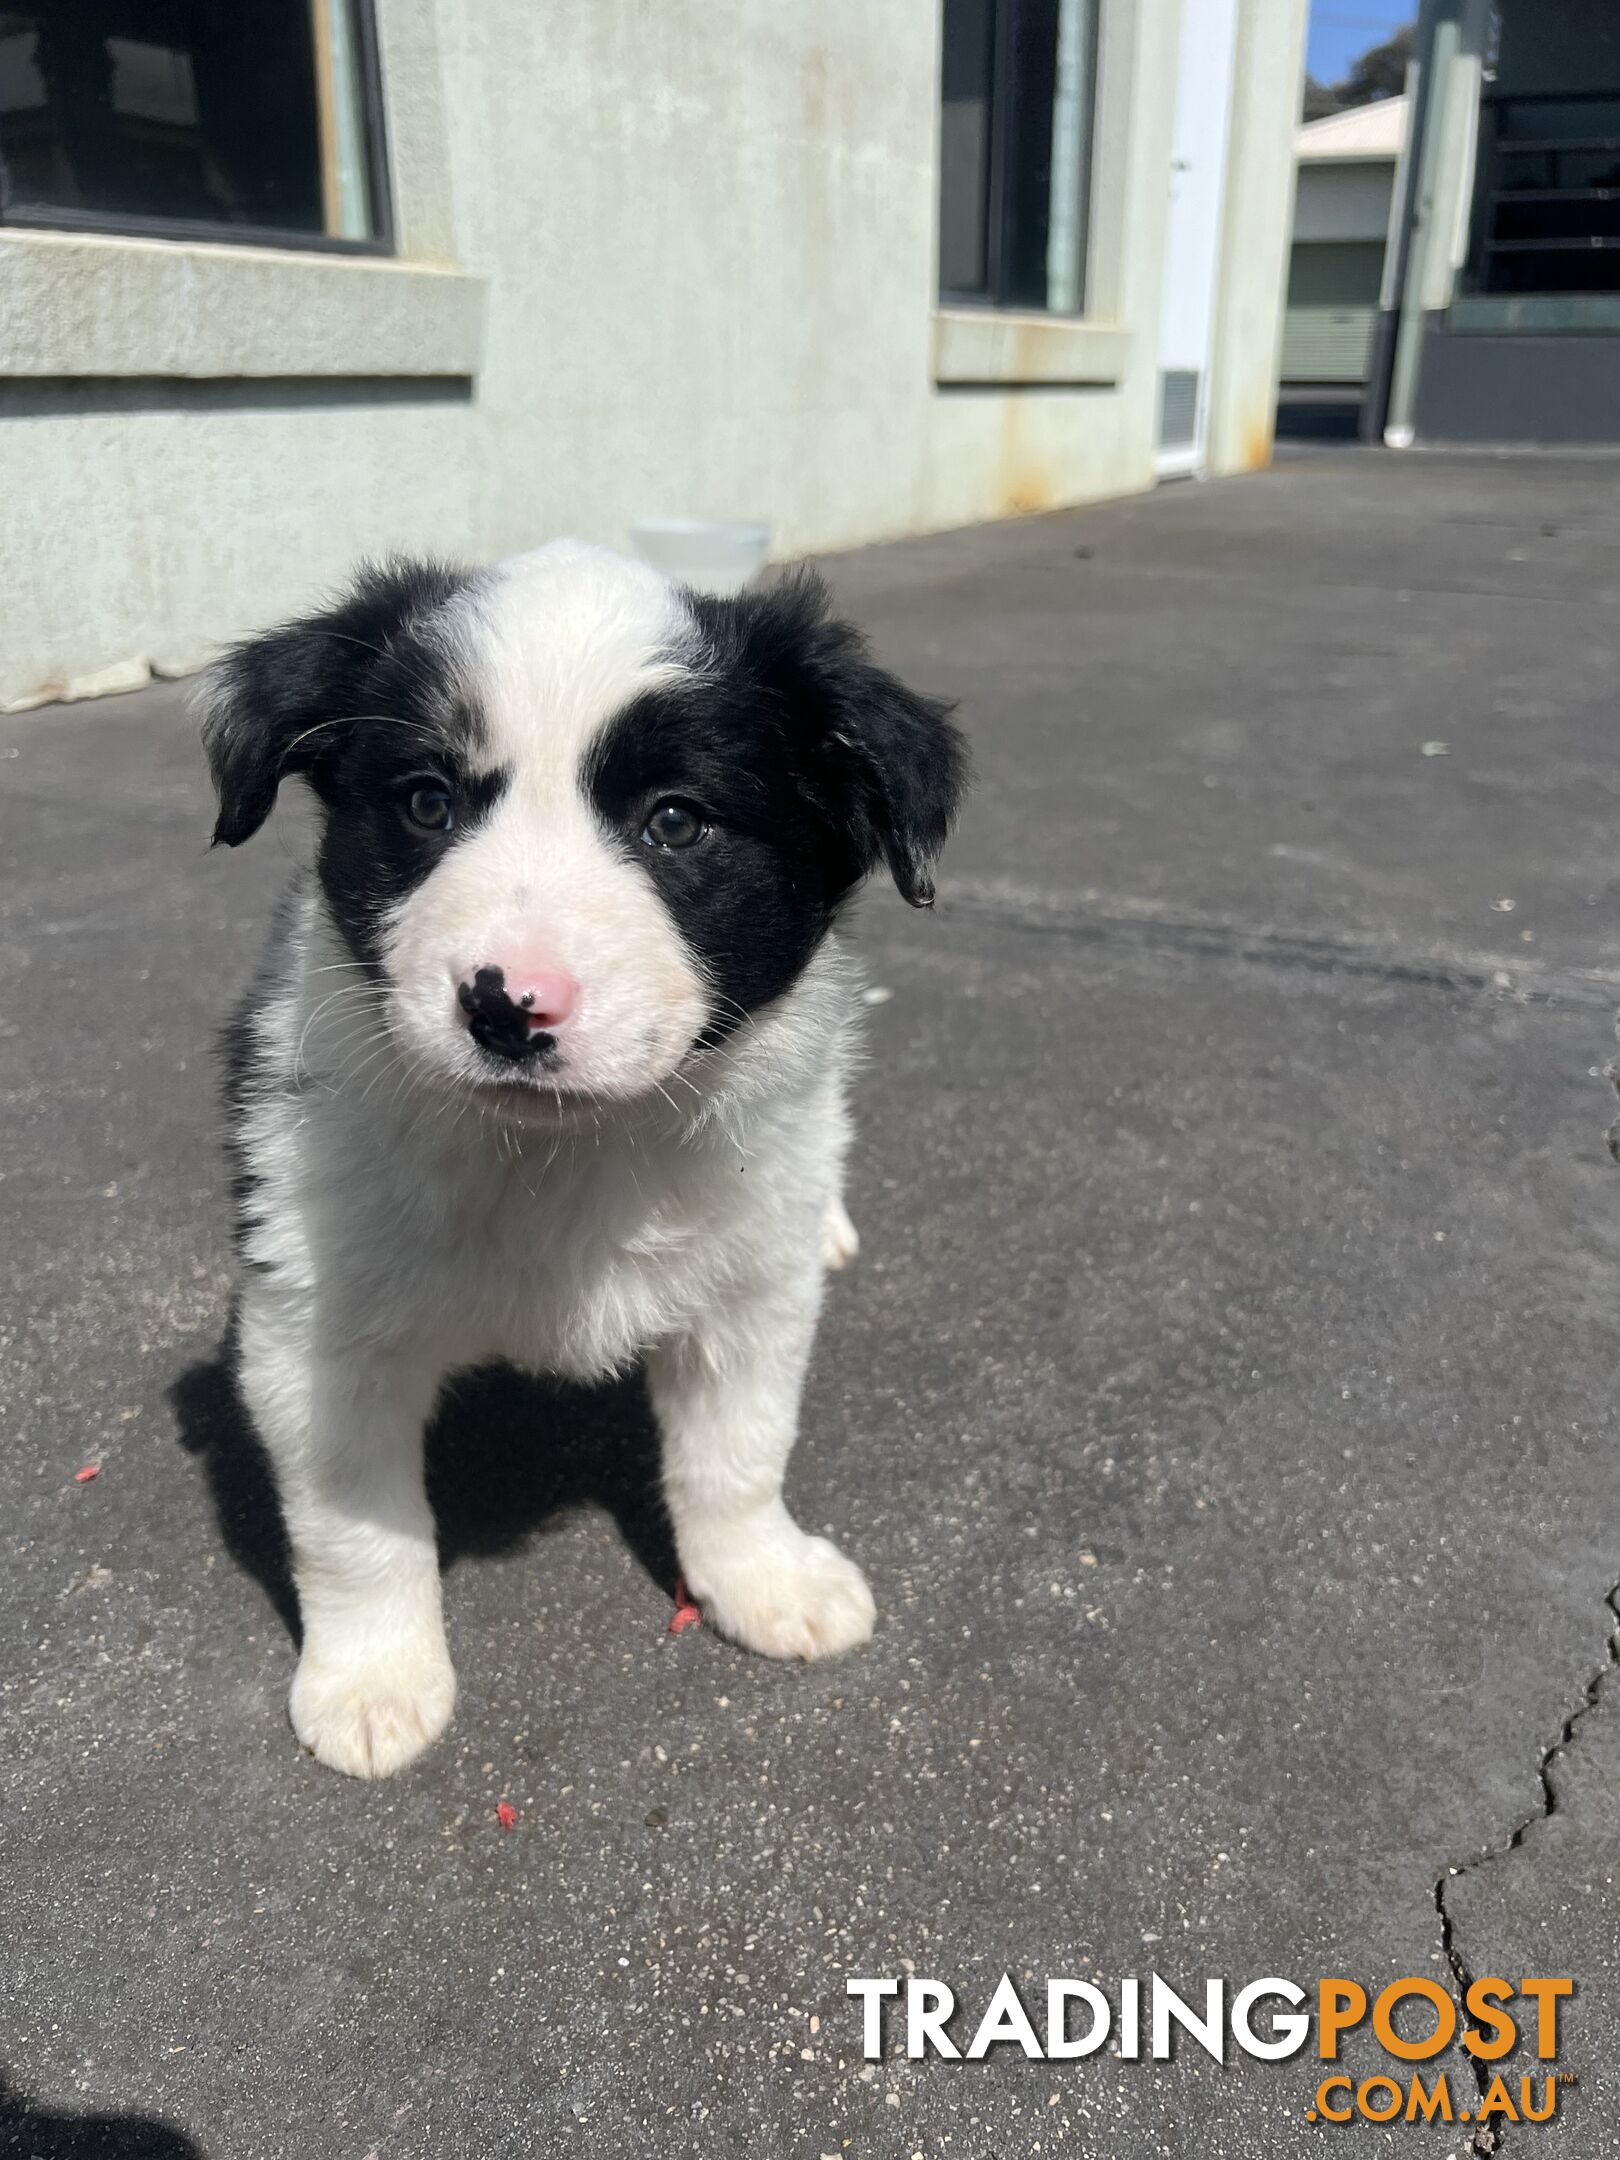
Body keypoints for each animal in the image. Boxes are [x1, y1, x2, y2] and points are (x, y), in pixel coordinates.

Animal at [201, 535, 963, 1771]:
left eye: (675, 822)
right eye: (425, 803)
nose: (506, 1005)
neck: (564, 1154)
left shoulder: (749, 1293)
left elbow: (739, 1450)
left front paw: (763, 1579)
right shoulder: (313, 1323)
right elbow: (354, 1522)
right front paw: (373, 1679)